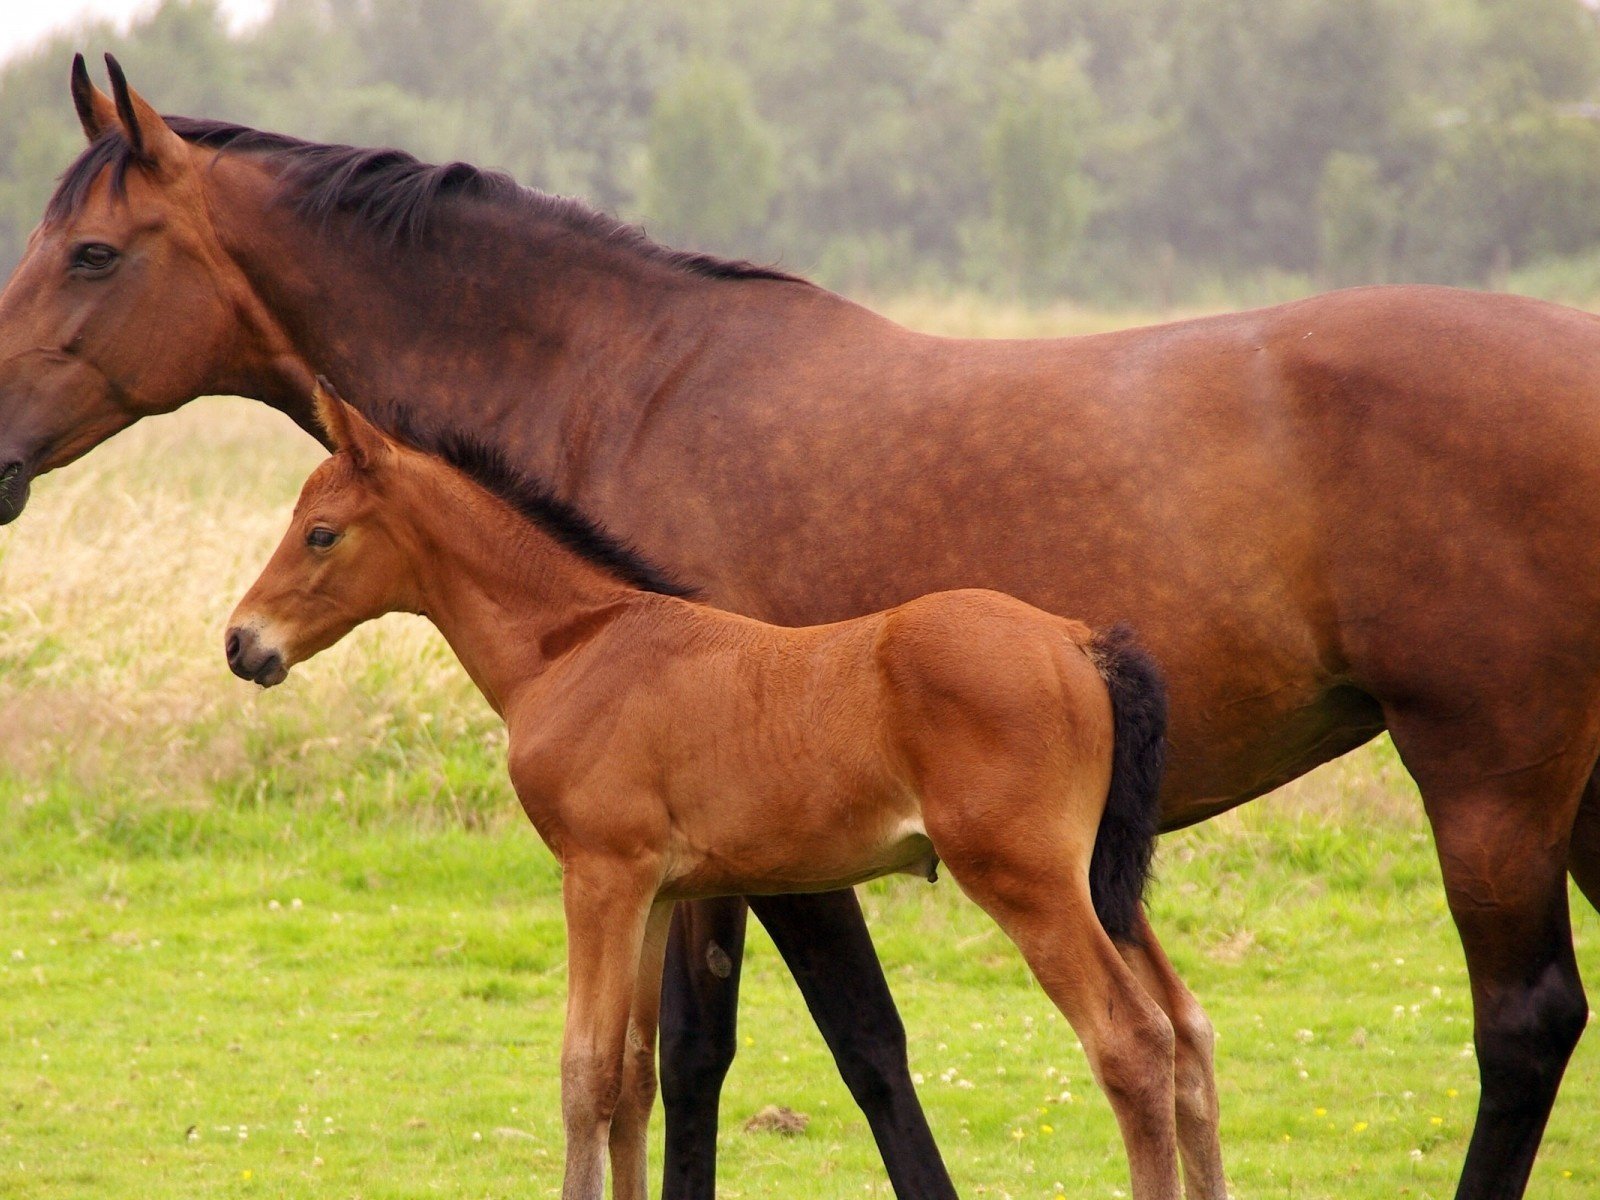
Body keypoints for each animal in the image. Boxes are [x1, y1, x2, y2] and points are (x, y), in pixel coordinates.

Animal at [228, 387, 1209, 1200]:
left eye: (322, 532)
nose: (242, 642)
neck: (577, 645)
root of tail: (1082, 642)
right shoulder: (657, 893)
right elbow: (633, 1076)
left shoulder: (600, 876)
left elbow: (584, 1072)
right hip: (1097, 883)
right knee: (1188, 1034)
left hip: (1026, 879)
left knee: (1132, 1042)